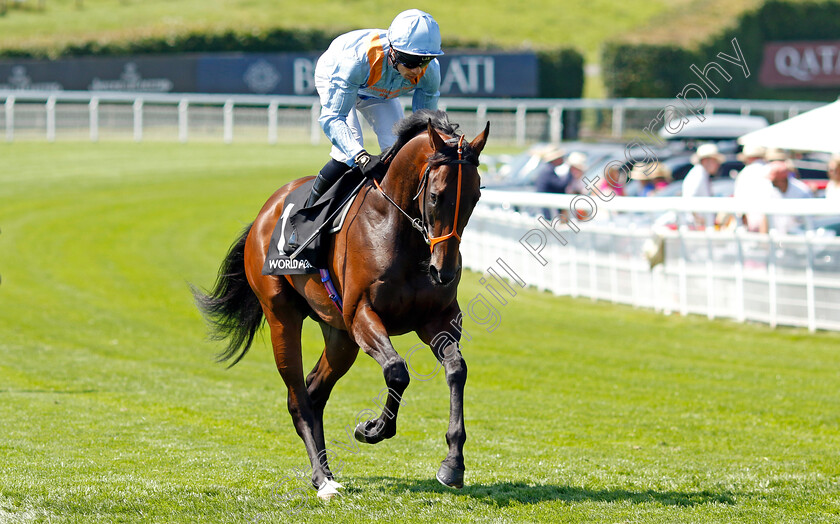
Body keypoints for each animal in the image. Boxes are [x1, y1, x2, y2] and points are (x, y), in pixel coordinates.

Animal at [194, 110, 488, 500]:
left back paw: (324, 471)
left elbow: (457, 369)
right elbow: (397, 369)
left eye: (476, 196)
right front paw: (372, 428)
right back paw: (323, 480)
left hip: (340, 336)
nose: (444, 271)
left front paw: (452, 464)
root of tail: (265, 212)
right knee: (298, 398)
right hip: (283, 317)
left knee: (315, 391)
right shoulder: (362, 314)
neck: (398, 233)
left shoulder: (437, 319)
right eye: (437, 196)